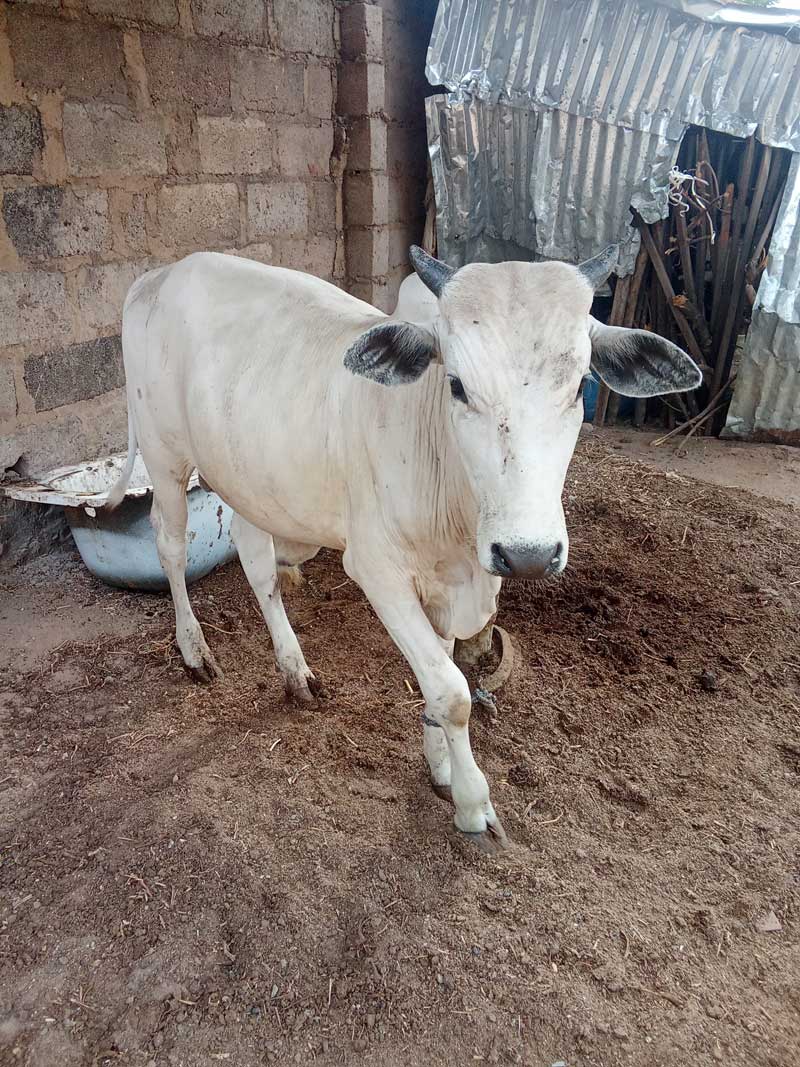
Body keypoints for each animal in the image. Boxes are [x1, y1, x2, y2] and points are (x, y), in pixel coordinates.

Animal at [107, 246, 701, 848]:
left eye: (581, 385)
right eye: (457, 385)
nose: (528, 554)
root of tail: (160, 274)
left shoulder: (447, 585)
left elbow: (440, 681)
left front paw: (440, 768)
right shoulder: (379, 572)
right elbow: (453, 692)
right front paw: (473, 805)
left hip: (250, 479)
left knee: (257, 561)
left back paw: (295, 670)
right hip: (164, 453)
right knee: (171, 546)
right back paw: (194, 650)